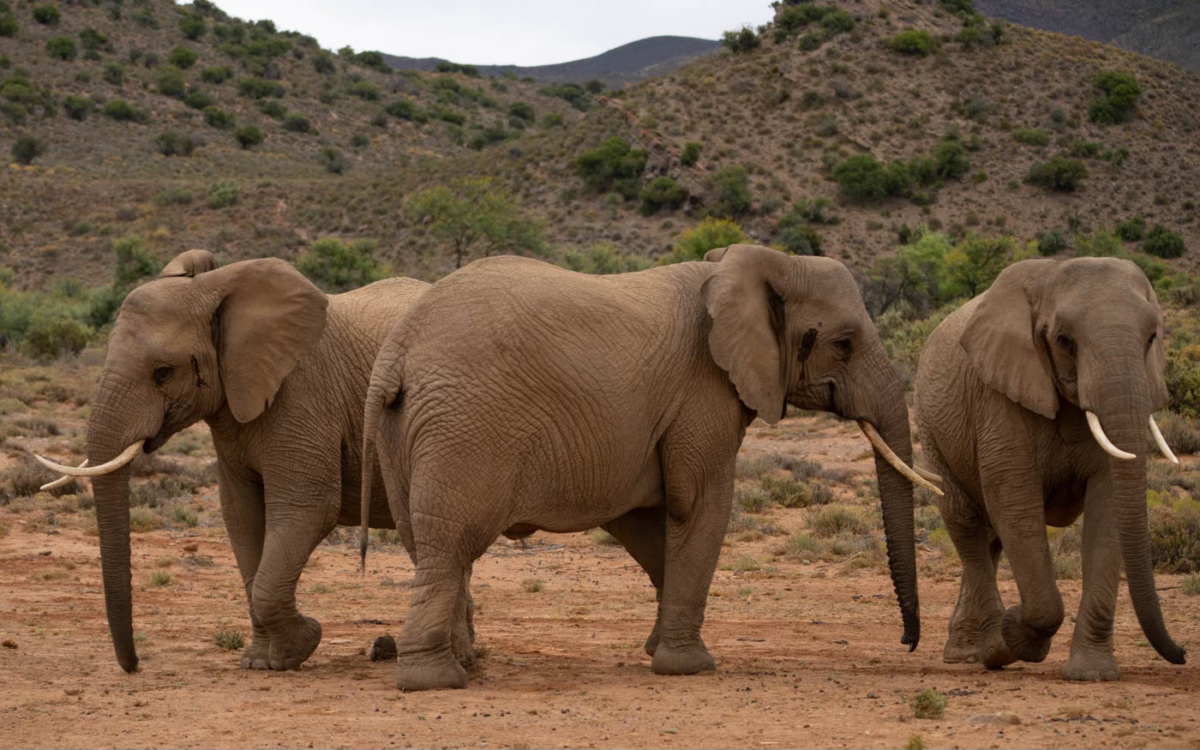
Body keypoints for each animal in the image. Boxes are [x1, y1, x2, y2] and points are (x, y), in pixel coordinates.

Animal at [35, 249, 432, 672]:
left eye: (163, 373)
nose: (134, 666)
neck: (216, 290)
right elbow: (241, 516)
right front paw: (260, 662)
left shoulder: (304, 396)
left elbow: (307, 508)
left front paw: (299, 647)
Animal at [355, 246, 936, 691]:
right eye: (844, 344)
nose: (908, 643)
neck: (755, 263)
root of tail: (397, 352)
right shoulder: (704, 392)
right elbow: (698, 506)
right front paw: (692, 667)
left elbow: (649, 525)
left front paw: (659, 648)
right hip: (465, 428)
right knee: (449, 546)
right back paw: (435, 680)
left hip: (405, 432)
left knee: (427, 545)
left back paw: (466, 667)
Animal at [912, 255, 1185, 676]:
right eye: (1064, 341)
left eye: (1152, 337)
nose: (1183, 653)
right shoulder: (997, 395)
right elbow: (1014, 497)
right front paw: (1011, 638)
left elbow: (1109, 507)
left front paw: (1091, 674)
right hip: (931, 425)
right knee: (966, 522)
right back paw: (982, 652)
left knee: (990, 537)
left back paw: (970, 651)